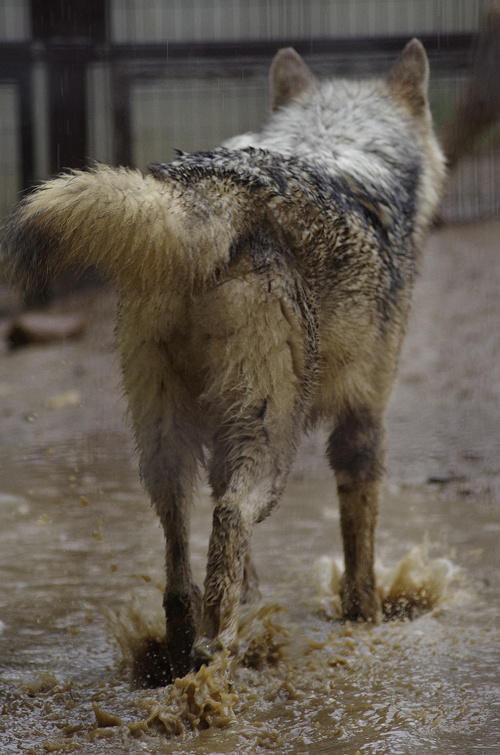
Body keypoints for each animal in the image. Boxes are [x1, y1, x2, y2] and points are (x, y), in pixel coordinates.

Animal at [0, 38, 446, 684]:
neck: (336, 138)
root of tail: (208, 190)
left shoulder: (217, 435)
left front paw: (251, 596)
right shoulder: (363, 423)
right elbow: (359, 552)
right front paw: (367, 618)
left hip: (165, 446)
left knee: (179, 551)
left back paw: (185, 647)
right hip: (274, 445)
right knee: (232, 515)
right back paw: (218, 651)